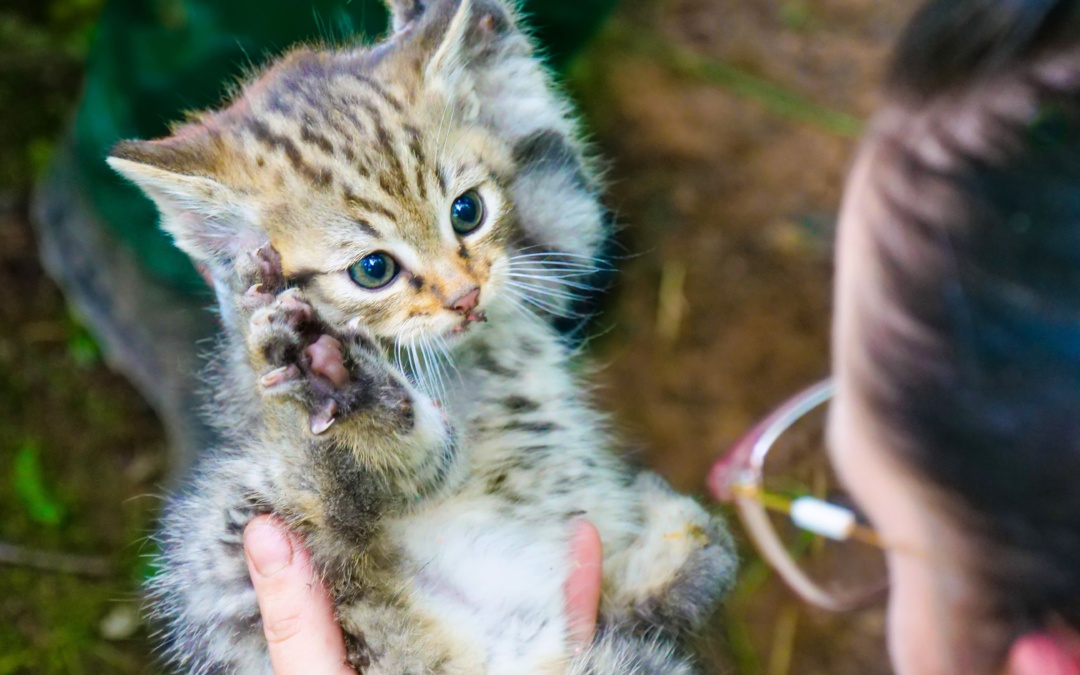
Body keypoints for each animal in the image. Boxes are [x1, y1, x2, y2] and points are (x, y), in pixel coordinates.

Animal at [109, 0, 738, 669]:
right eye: (373, 269)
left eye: (468, 211)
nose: (465, 297)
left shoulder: (554, 254)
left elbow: (550, 158)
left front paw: (471, 27)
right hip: (233, 533)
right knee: (344, 491)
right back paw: (344, 391)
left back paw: (676, 550)